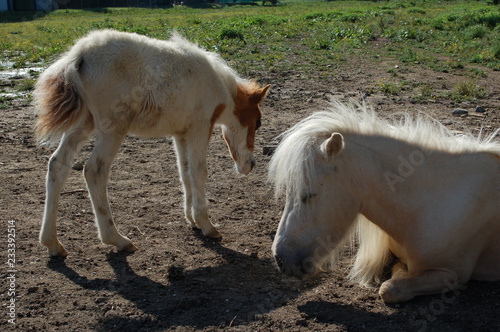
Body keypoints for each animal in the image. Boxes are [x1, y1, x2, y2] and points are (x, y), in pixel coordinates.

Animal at [34, 29, 270, 256]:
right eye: (257, 122)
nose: (250, 165)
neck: (216, 85)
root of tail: (80, 55)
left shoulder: (181, 133)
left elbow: (184, 173)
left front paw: (191, 220)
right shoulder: (200, 128)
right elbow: (199, 172)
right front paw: (207, 225)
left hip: (85, 122)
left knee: (58, 164)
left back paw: (53, 244)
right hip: (113, 127)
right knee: (94, 171)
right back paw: (117, 239)